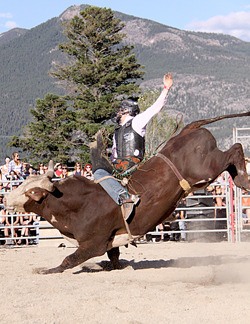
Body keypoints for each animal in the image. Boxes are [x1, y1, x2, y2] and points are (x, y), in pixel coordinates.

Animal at [4, 111, 250, 274]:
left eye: (29, 191)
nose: (6, 198)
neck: (75, 204)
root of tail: (188, 130)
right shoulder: (109, 243)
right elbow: (114, 258)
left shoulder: (93, 243)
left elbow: (69, 259)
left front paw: (46, 270)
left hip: (205, 168)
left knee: (235, 149)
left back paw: (243, 178)